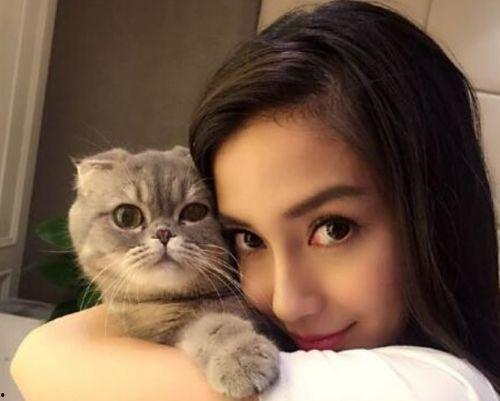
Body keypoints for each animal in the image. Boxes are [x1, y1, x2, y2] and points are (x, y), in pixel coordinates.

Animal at [68, 145, 294, 399]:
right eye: (126, 216)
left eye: (194, 212)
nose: (164, 233)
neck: (178, 303)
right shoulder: (170, 329)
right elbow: (213, 327)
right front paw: (239, 357)